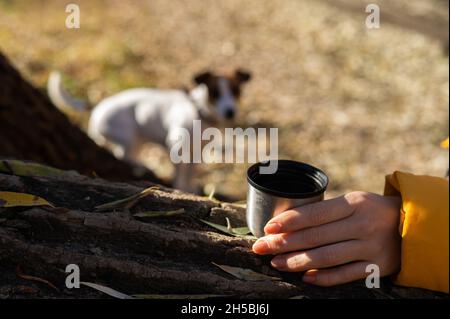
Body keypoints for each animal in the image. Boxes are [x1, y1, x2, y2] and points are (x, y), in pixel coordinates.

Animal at [47, 69, 251, 192]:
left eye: (236, 91)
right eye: (216, 93)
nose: (230, 112)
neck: (198, 110)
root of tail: (98, 106)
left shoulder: (196, 151)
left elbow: (191, 171)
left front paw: (190, 188)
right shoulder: (176, 147)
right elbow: (180, 174)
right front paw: (181, 188)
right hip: (128, 139)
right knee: (125, 157)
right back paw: (142, 166)